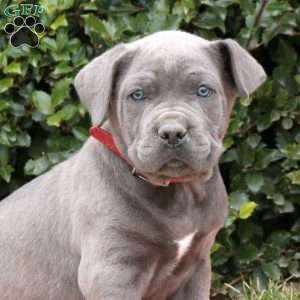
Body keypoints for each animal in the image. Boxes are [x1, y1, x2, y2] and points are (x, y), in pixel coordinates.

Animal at [0, 31, 268, 300]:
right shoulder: (111, 272)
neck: (178, 191)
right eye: (137, 95)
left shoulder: (197, 265)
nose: (172, 132)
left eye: (203, 91)